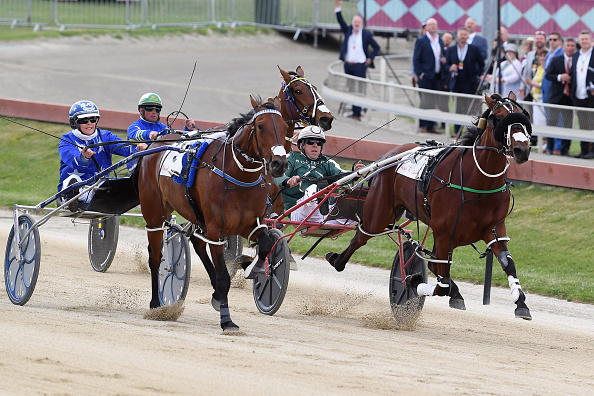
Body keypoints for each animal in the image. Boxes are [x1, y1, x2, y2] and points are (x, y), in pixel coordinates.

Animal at [139, 96, 286, 332]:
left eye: (285, 128)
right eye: (261, 126)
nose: (279, 164)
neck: (237, 176)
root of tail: (159, 139)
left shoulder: (253, 223)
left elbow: (265, 245)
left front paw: (253, 268)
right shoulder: (218, 230)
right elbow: (224, 277)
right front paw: (227, 320)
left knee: (197, 243)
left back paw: (216, 293)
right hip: (154, 214)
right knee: (155, 257)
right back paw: (155, 304)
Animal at [326, 92, 536, 318]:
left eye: (524, 117)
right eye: (498, 117)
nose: (522, 149)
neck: (476, 181)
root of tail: (390, 155)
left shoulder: (493, 229)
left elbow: (507, 263)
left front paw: (521, 303)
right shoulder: (444, 233)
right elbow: (440, 283)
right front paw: (413, 280)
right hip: (379, 213)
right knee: (361, 236)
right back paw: (336, 260)